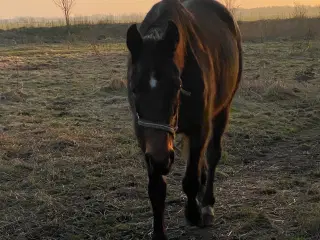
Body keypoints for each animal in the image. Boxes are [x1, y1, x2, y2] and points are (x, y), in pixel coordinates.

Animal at [125, 0, 242, 239]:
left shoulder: (199, 129)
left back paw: (206, 204)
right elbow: (156, 190)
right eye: (134, 88)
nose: (161, 159)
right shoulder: (145, 139)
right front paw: (159, 233)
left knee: (212, 155)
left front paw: (194, 213)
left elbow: (191, 179)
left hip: (222, 111)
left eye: (176, 85)